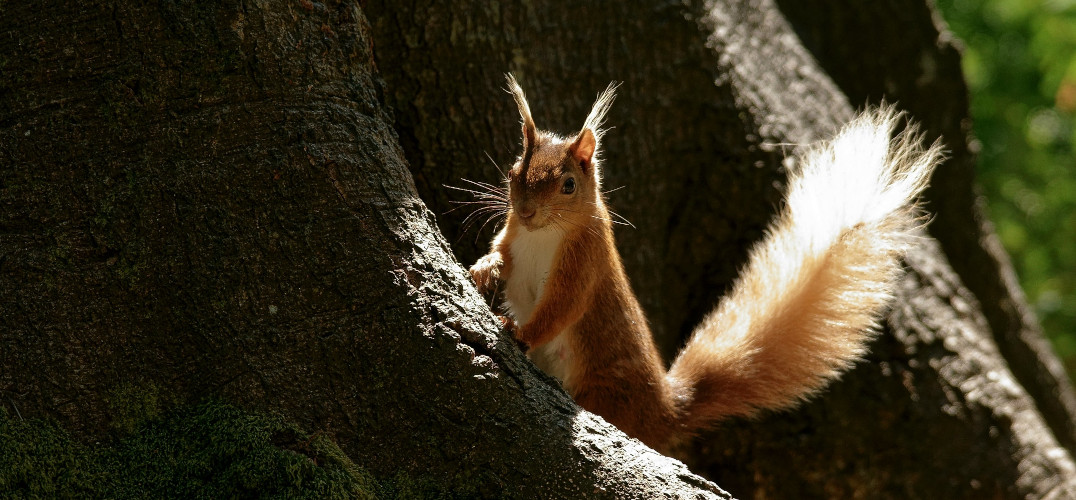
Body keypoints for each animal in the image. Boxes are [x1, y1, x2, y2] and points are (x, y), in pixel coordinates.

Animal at [466, 75, 938, 451]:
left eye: (568, 185)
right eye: (514, 170)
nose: (527, 210)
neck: (541, 236)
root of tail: (663, 411)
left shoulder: (584, 263)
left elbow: (562, 307)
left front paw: (519, 331)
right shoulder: (513, 237)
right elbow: (503, 257)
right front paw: (482, 269)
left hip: (604, 393)